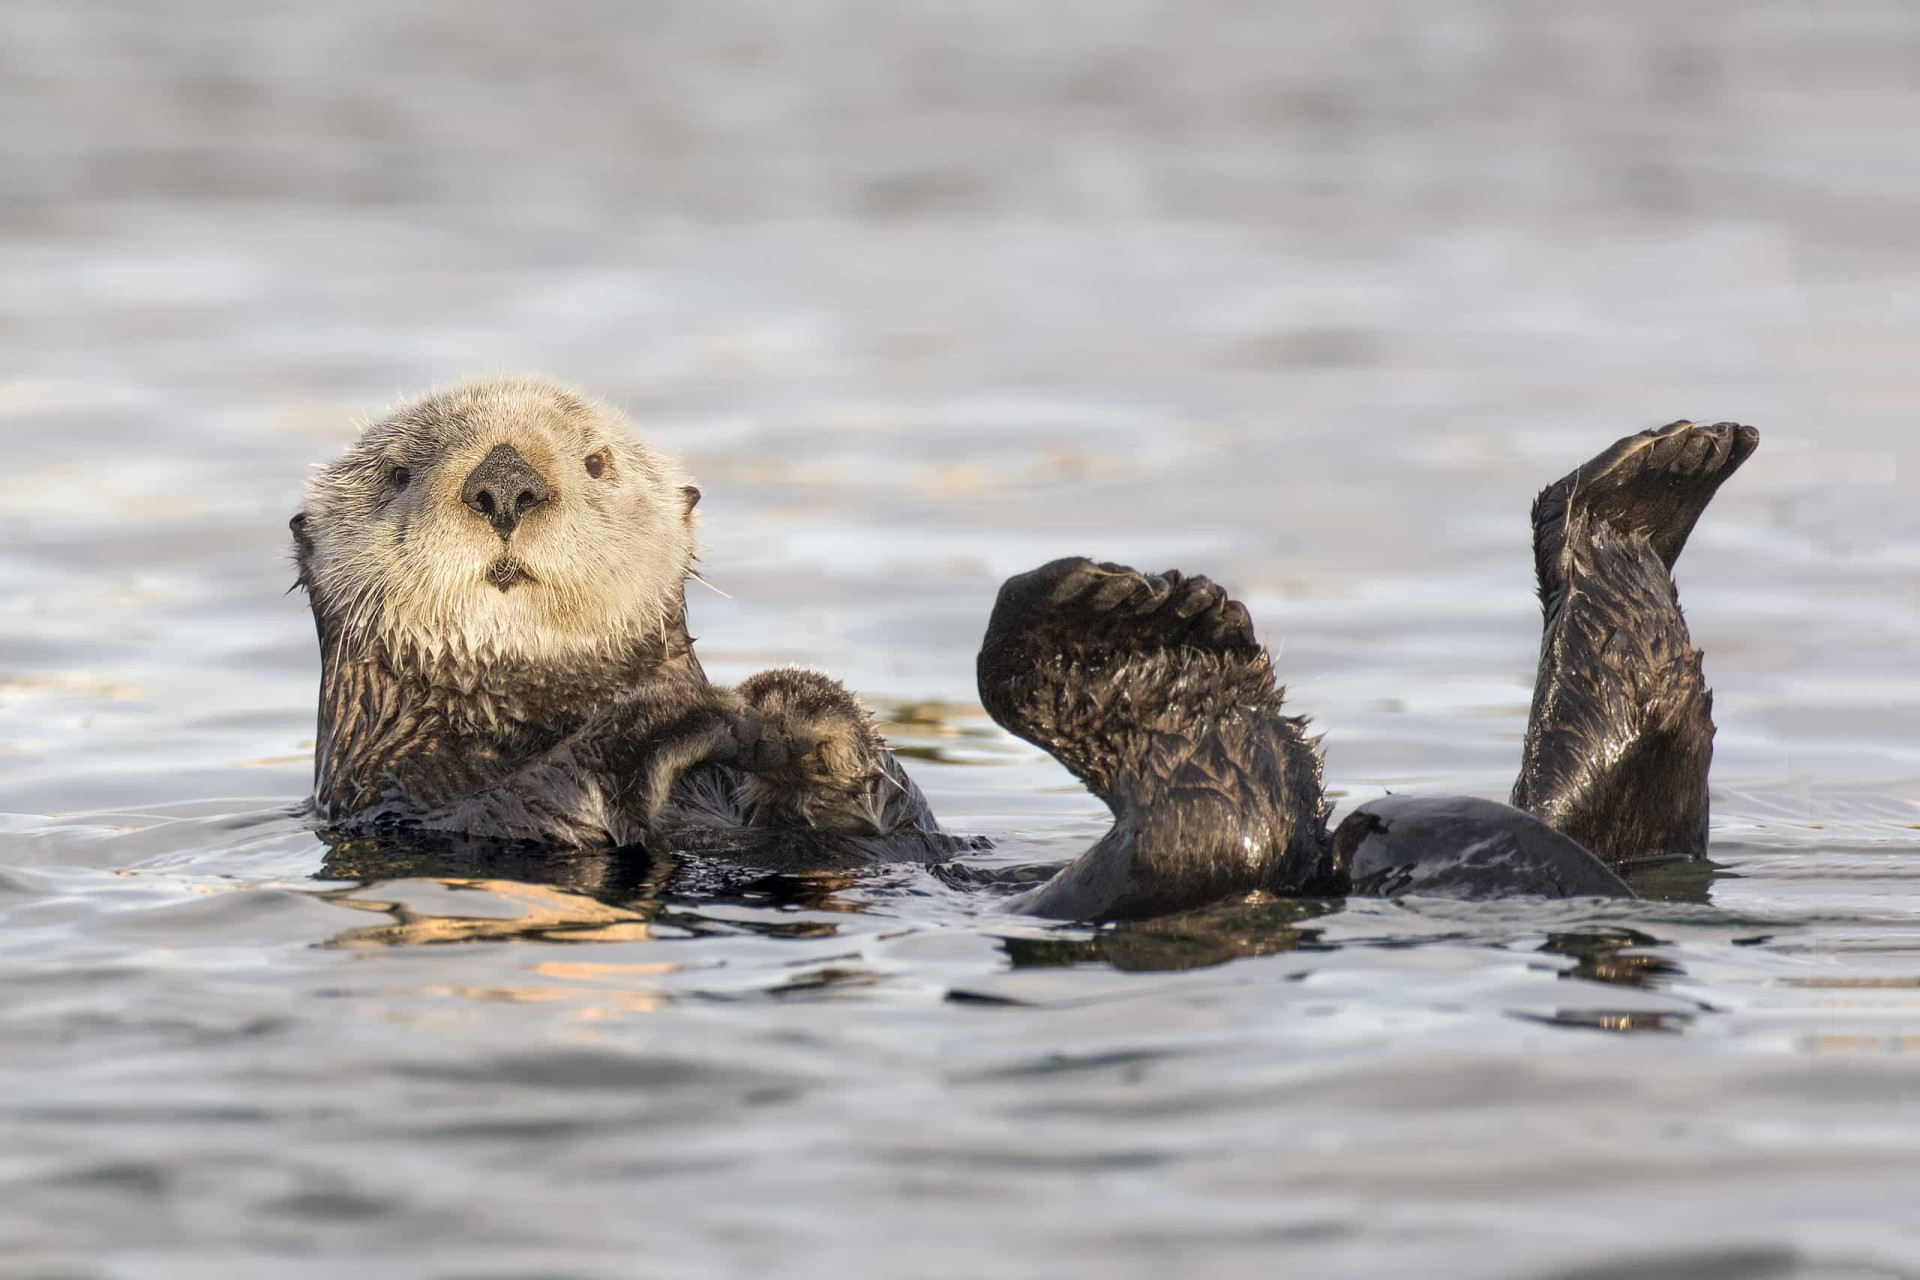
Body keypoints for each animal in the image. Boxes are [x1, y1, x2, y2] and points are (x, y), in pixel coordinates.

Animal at [292, 381, 1755, 919]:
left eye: (596, 461)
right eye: (403, 466)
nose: (506, 483)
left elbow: (866, 788)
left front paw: (800, 717)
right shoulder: (415, 798)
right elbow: (554, 795)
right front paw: (712, 717)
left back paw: (1643, 489)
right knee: (1212, 816)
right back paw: (1141, 641)